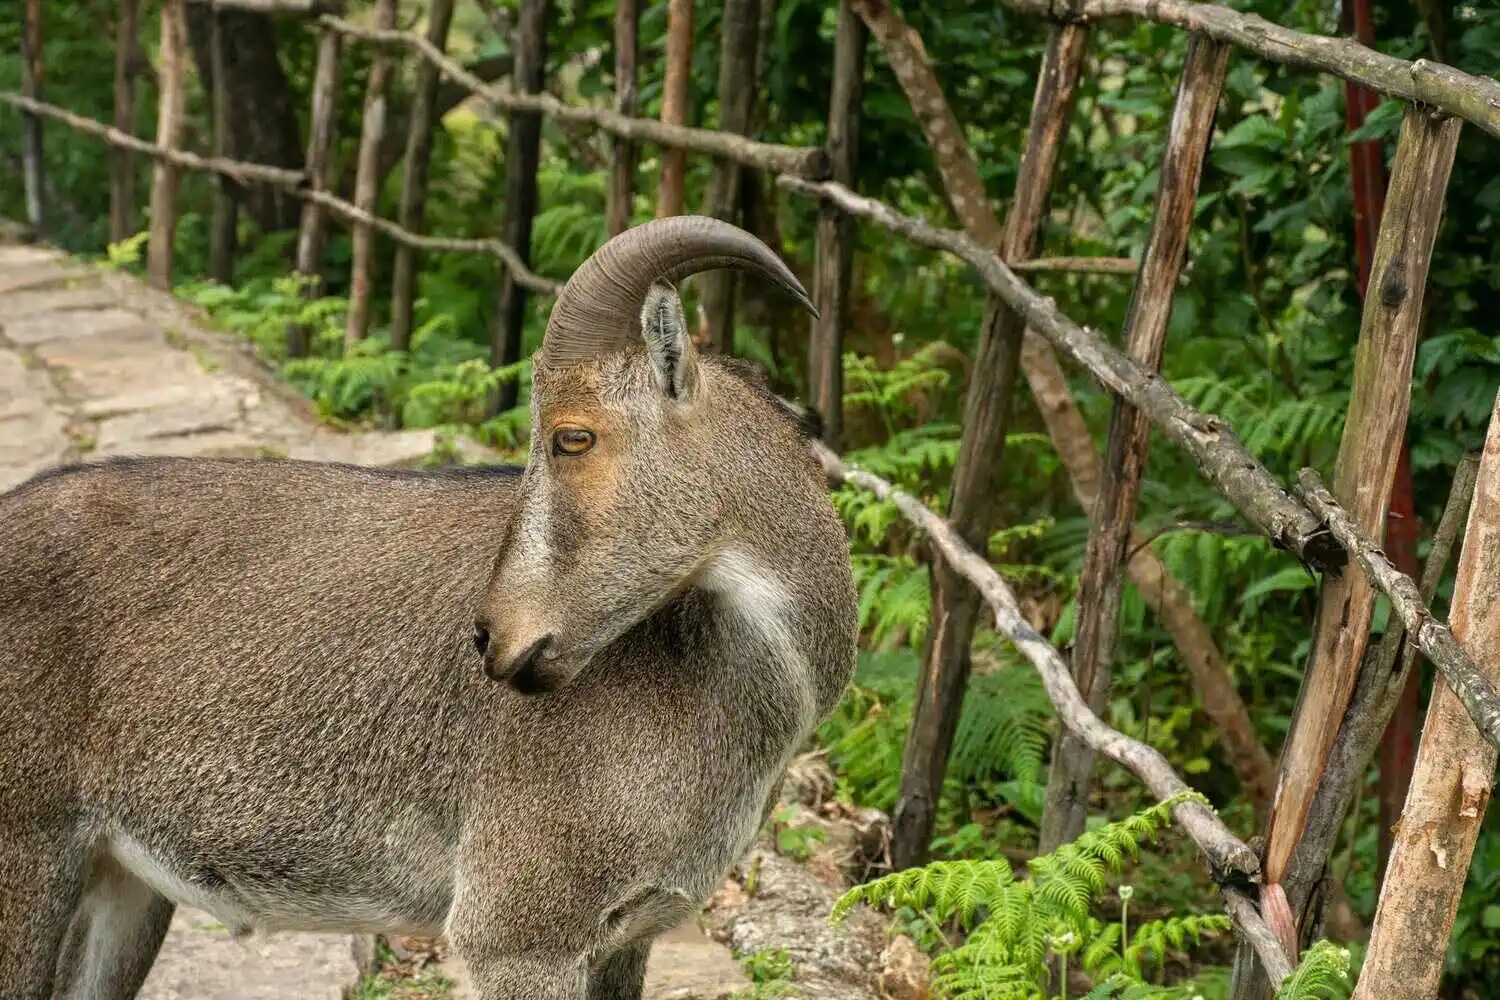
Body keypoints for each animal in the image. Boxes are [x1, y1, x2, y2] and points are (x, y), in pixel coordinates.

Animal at [2, 218, 858, 1000]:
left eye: (572, 436)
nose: (496, 637)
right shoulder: (518, 934)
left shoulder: (627, 938)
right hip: (28, 855)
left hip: (120, 884)